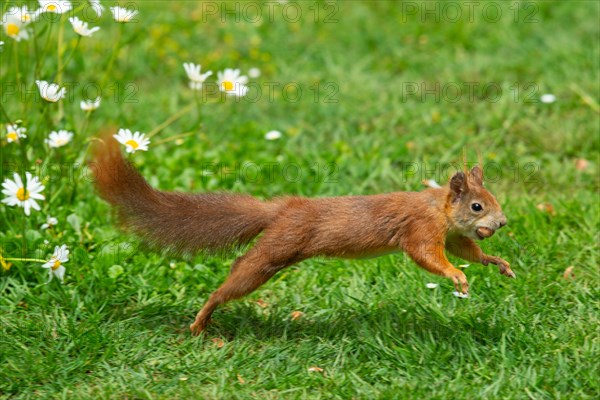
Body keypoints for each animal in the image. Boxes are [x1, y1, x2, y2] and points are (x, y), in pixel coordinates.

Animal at [91, 134, 512, 334]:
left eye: (491, 199)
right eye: (477, 206)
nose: (503, 222)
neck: (438, 207)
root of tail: (283, 209)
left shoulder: (452, 235)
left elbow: (467, 250)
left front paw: (497, 262)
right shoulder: (420, 229)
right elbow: (426, 255)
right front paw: (456, 277)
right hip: (277, 249)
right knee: (237, 276)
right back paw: (200, 320)